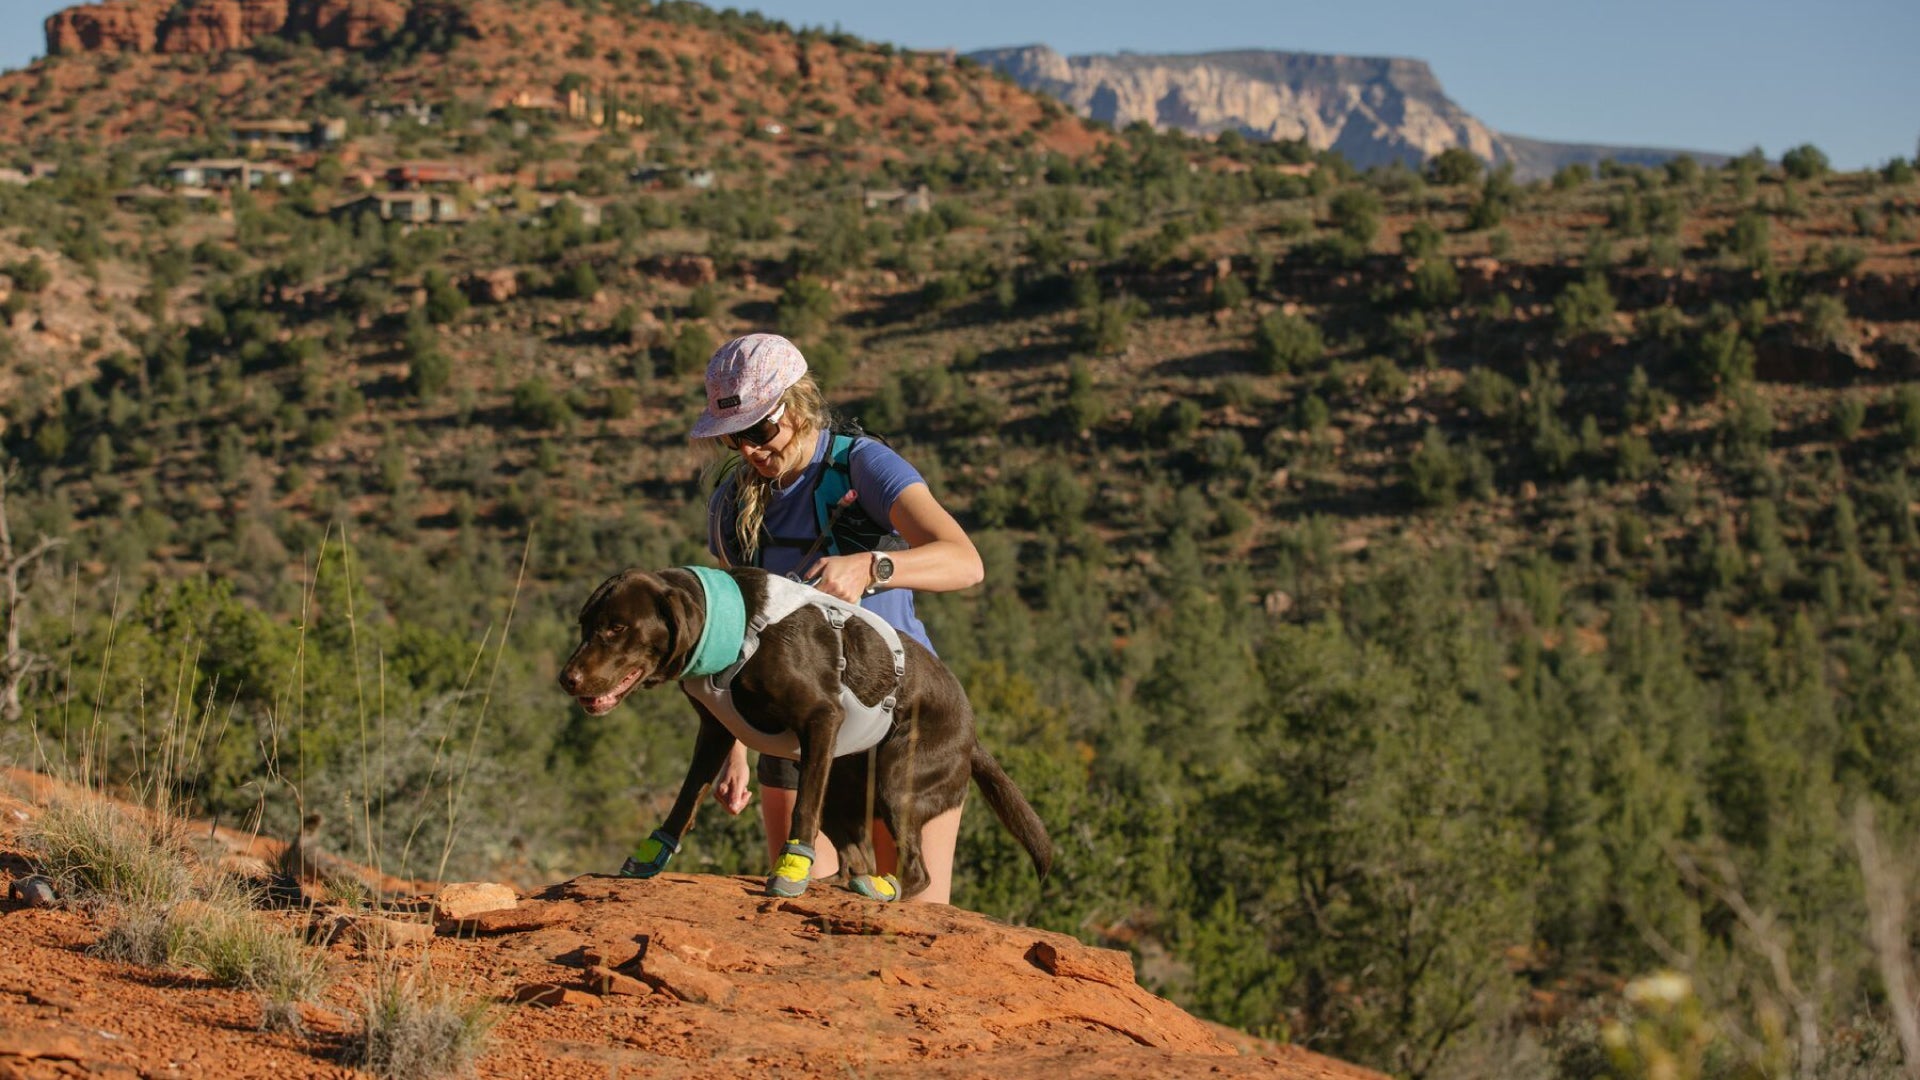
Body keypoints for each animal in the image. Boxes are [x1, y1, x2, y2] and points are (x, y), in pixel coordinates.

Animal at [560, 564, 1052, 899]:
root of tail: (973, 737)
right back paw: (843, 884)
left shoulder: (821, 718)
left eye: (617, 627)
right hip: (841, 779)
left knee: (917, 871)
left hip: (897, 778)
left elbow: (802, 812)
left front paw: (789, 871)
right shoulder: (716, 731)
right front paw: (650, 858)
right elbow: (685, 799)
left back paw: (885, 891)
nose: (566, 679)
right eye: (584, 624)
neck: (736, 627)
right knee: (856, 856)